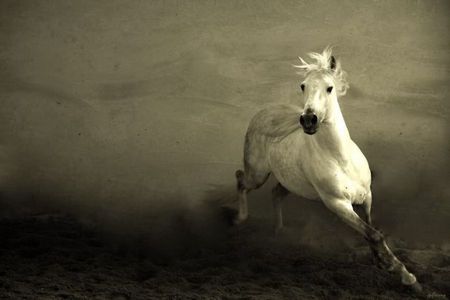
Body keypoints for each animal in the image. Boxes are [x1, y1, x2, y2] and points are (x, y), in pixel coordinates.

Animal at [236, 47, 422, 290]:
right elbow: (373, 234)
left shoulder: (367, 196)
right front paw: (407, 277)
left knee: (275, 193)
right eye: (303, 85)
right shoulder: (338, 204)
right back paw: (239, 220)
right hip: (257, 174)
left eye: (330, 87)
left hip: (290, 182)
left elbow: (371, 229)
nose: (309, 120)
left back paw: (278, 232)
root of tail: (262, 112)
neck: (341, 159)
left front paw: (381, 262)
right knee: (241, 180)